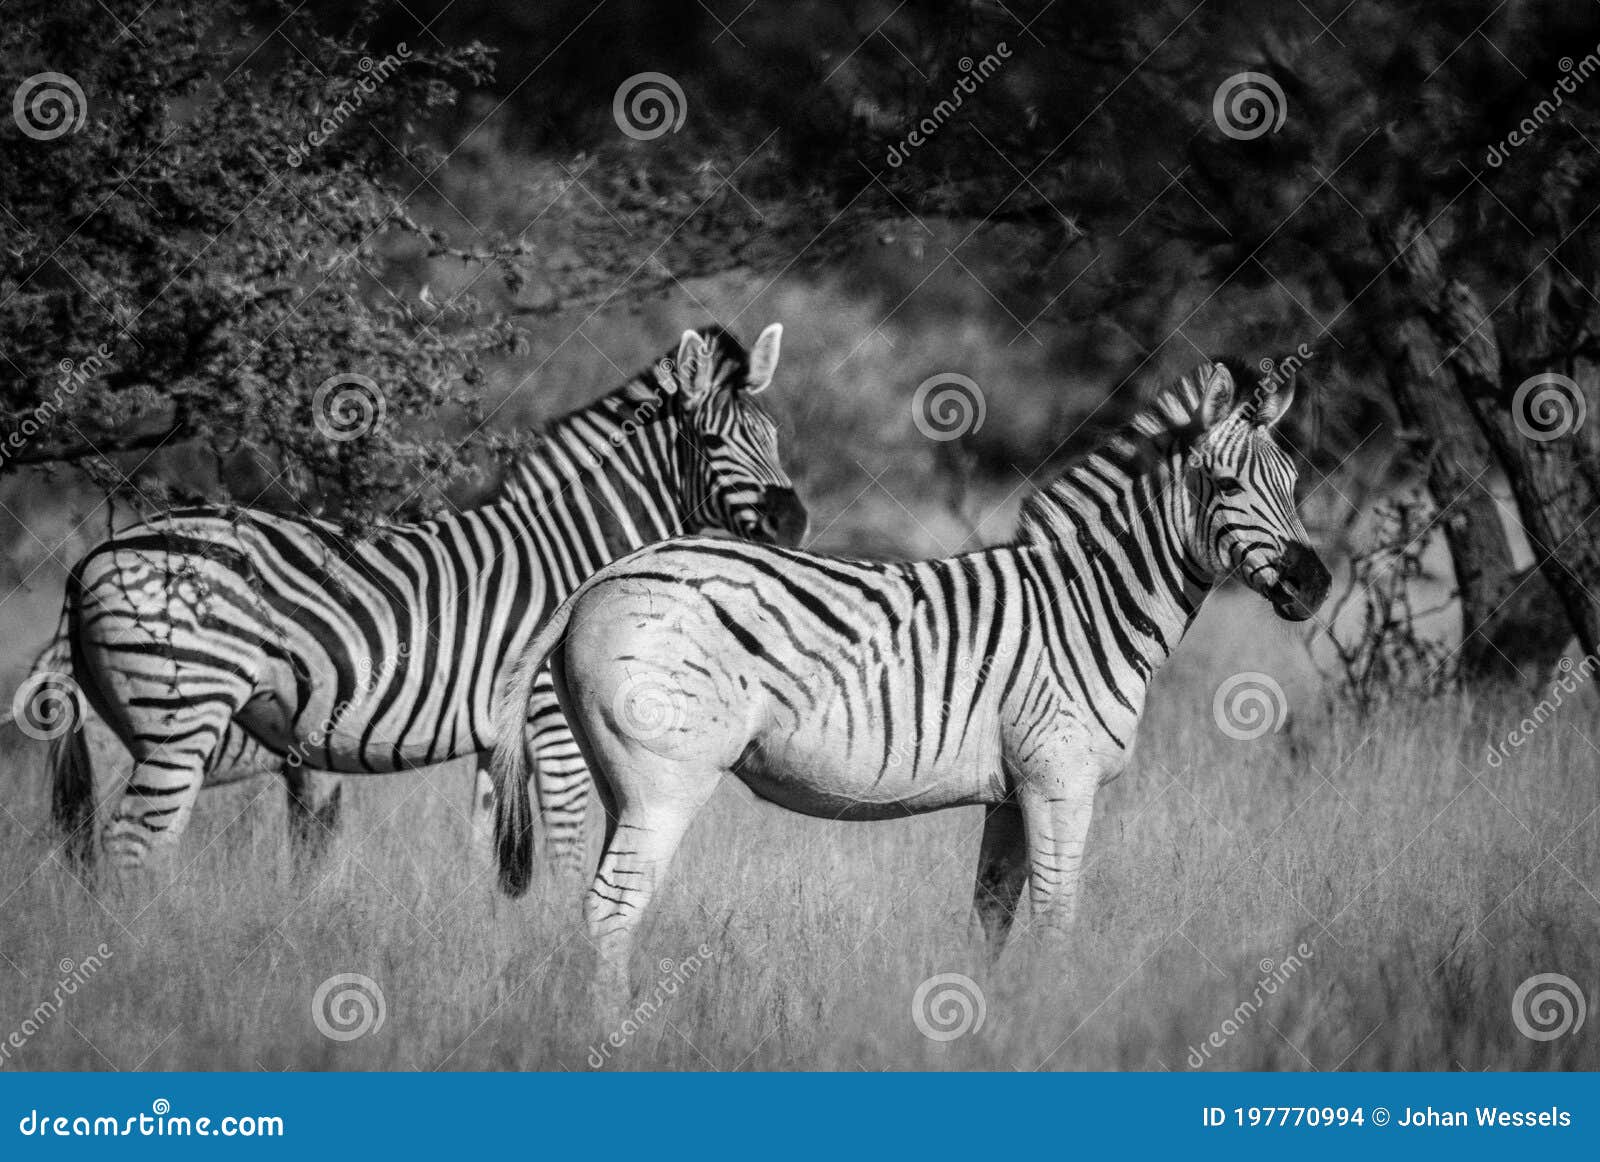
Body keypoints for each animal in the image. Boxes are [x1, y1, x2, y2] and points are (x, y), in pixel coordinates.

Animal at [47, 323, 807, 885]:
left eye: (774, 437)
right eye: (710, 440)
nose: (793, 524)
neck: (578, 547)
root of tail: (91, 560)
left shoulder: (498, 739)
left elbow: (486, 854)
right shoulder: (551, 718)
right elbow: (565, 850)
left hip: (149, 725)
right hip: (182, 712)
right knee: (132, 845)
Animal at [489, 358, 1330, 984]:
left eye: (1294, 484)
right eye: (1227, 486)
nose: (1315, 585)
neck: (1090, 604)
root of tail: (598, 579)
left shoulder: (1012, 793)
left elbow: (991, 920)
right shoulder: (1061, 782)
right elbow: (1057, 923)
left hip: (620, 780)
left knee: (600, 906)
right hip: (667, 779)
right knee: (612, 911)